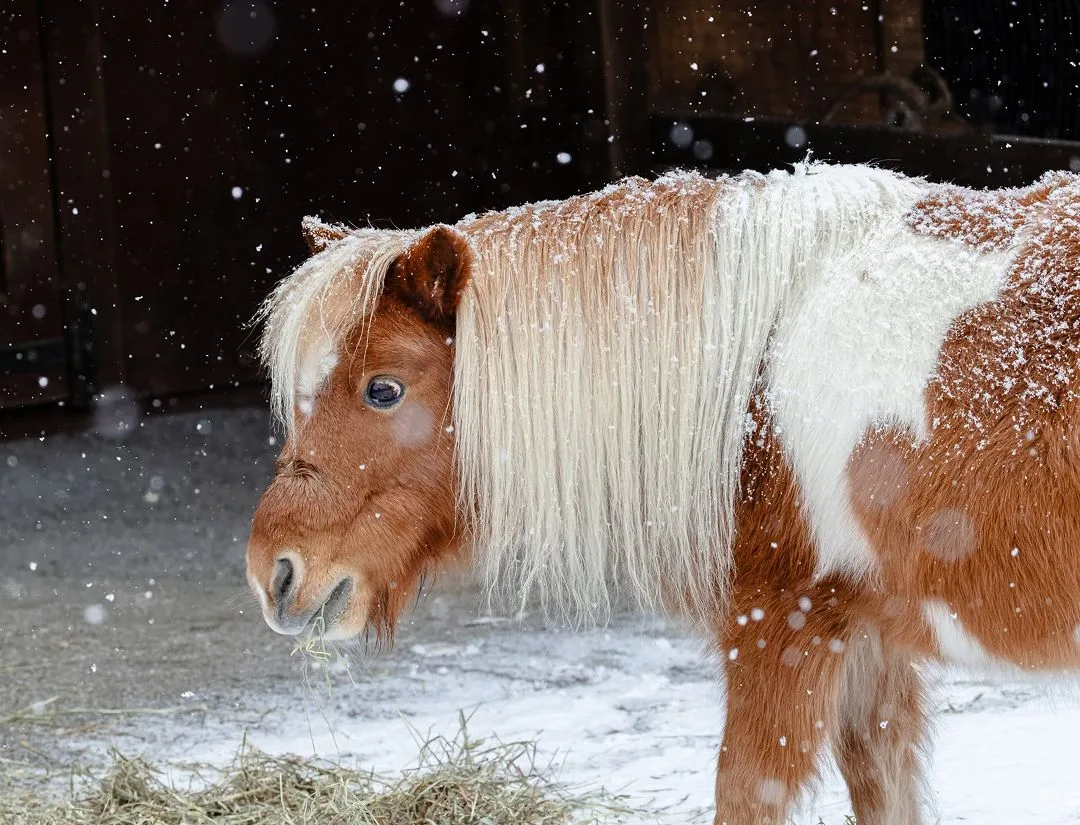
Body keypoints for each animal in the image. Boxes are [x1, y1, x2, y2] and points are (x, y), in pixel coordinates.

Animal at [245, 161, 1080, 824]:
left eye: (384, 389)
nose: (273, 570)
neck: (746, 377)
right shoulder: (868, 638)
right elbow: (881, 783)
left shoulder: (782, 625)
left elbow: (745, 793)